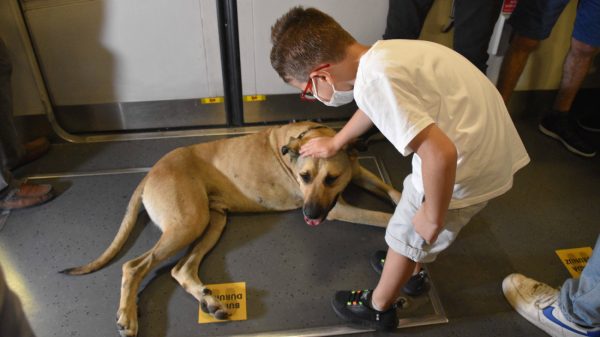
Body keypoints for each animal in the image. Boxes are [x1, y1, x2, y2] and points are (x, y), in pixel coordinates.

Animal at [62, 121, 398, 336]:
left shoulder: (358, 172)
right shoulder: (338, 208)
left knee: (180, 270)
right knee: (134, 266)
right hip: (188, 223)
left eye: (331, 178)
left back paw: (210, 301)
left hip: (211, 222)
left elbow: (393, 193)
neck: (312, 136)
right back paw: (128, 318)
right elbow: (385, 217)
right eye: (303, 177)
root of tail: (151, 172)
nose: (310, 214)